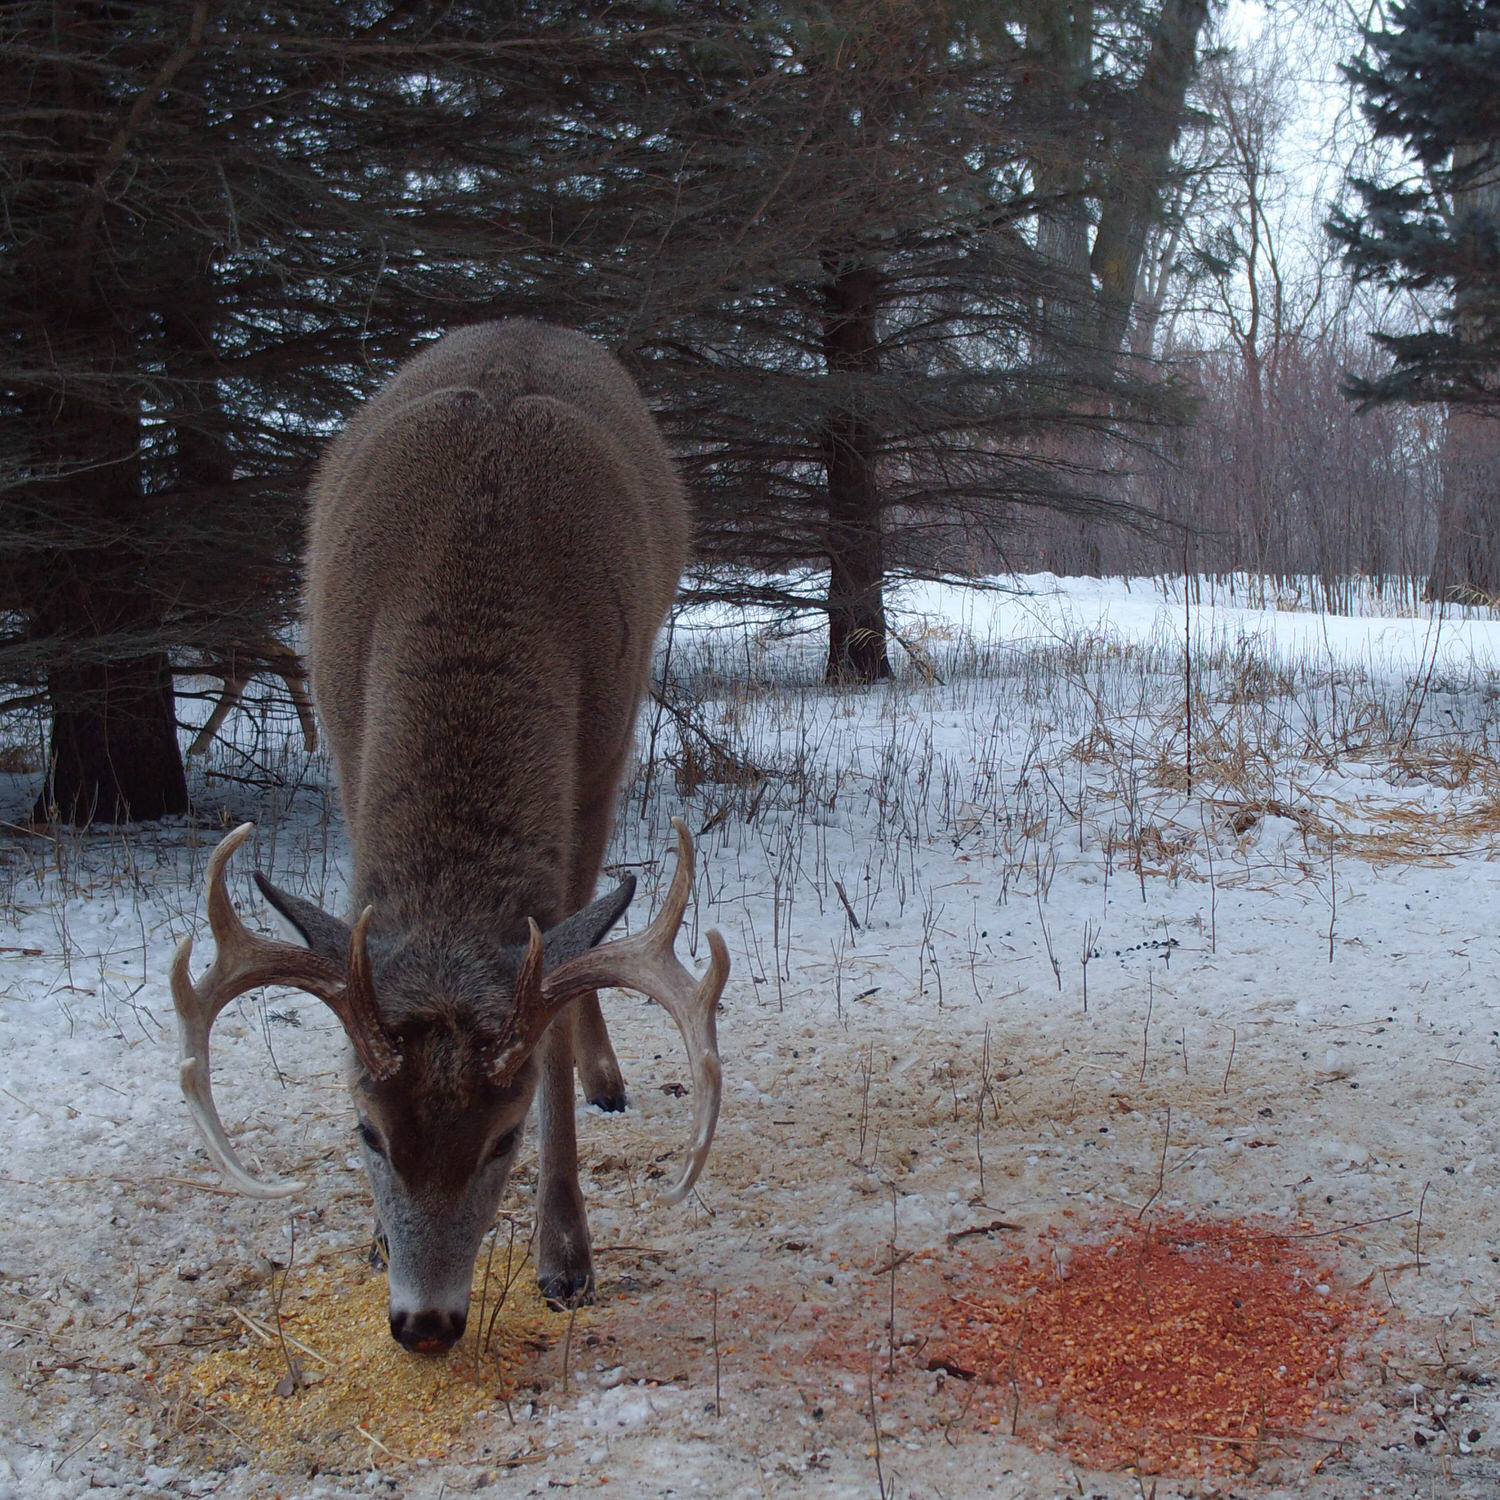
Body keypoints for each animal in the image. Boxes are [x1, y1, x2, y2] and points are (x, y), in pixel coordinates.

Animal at [165, 322, 726, 1356]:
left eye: (503, 1137)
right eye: (365, 1131)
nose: (425, 1322)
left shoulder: (596, 756)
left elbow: (557, 1004)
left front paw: (566, 1256)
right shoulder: (343, 738)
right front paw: (377, 1240)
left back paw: (605, 1076)